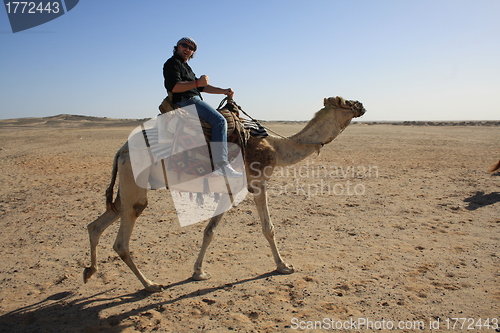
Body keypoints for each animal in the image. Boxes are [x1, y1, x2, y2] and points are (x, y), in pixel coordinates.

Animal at [81, 96, 364, 290]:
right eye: (344, 101)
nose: (361, 104)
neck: (277, 147)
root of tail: (122, 151)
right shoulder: (257, 183)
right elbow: (268, 228)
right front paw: (284, 266)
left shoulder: (229, 191)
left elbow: (210, 231)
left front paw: (198, 272)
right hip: (134, 185)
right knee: (122, 240)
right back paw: (150, 285)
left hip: (126, 190)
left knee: (97, 224)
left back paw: (90, 271)